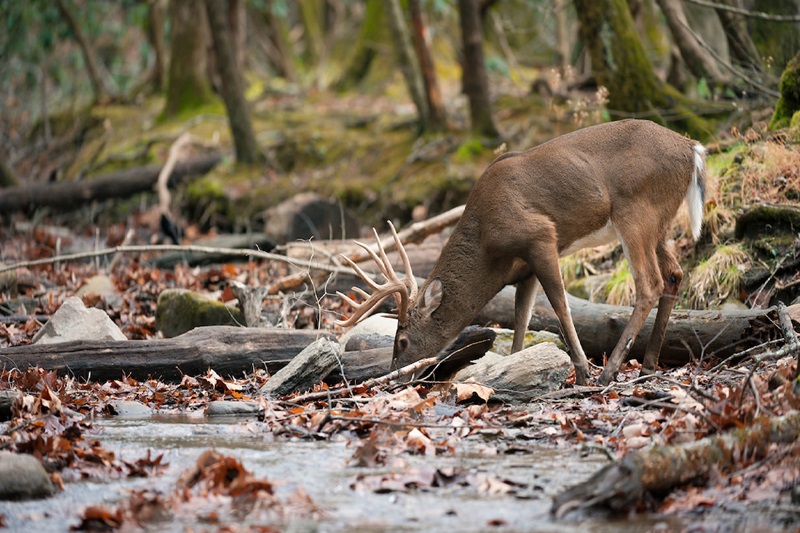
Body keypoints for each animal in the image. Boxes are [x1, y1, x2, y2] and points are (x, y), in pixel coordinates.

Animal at [338, 119, 708, 386]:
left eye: (402, 341)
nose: (394, 375)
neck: (487, 242)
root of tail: (692, 148)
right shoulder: (524, 268)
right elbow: (521, 317)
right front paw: (515, 364)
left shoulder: (540, 235)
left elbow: (559, 304)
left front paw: (582, 372)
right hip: (658, 222)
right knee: (674, 273)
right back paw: (648, 366)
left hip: (635, 210)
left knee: (649, 283)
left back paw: (609, 371)